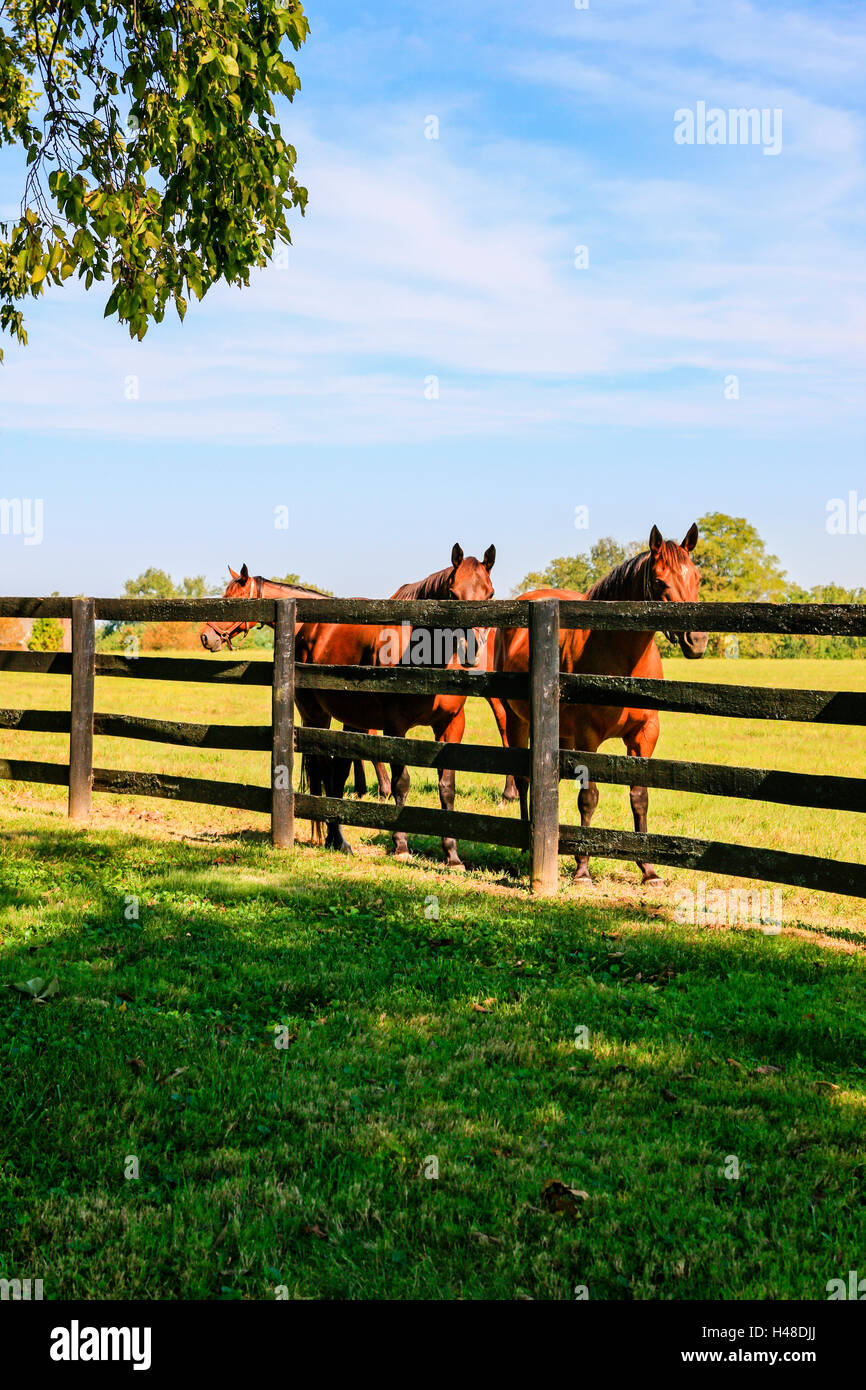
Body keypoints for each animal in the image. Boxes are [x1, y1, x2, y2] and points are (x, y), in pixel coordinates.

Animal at [496, 524, 708, 885]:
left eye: (696, 576)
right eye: (659, 580)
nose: (697, 640)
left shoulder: (644, 734)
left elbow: (640, 798)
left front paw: (648, 870)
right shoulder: (588, 738)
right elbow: (589, 798)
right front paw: (582, 869)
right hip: (516, 719)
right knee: (523, 780)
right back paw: (527, 847)